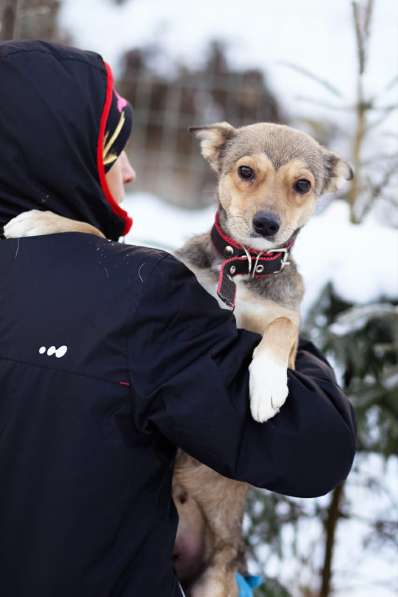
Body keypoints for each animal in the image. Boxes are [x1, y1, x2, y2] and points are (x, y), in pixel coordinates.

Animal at [4, 122, 352, 596]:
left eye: (303, 185)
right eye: (246, 171)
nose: (266, 224)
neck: (239, 270)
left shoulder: (287, 334)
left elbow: (283, 327)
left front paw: (266, 387)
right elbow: (95, 231)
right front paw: (40, 220)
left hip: (215, 582)